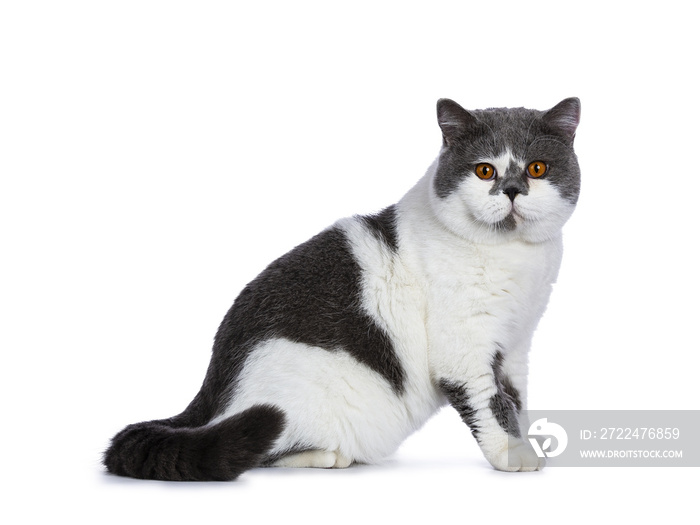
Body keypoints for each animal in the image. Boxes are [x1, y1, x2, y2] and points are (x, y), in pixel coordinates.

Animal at [104, 96, 584, 482]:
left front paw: (528, 441)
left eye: (537, 168)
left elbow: (516, 400)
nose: (513, 189)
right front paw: (511, 453)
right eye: (485, 170)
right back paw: (325, 456)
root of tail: (209, 390)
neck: (513, 256)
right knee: (255, 451)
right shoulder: (464, 351)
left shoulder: (516, 343)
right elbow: (490, 403)